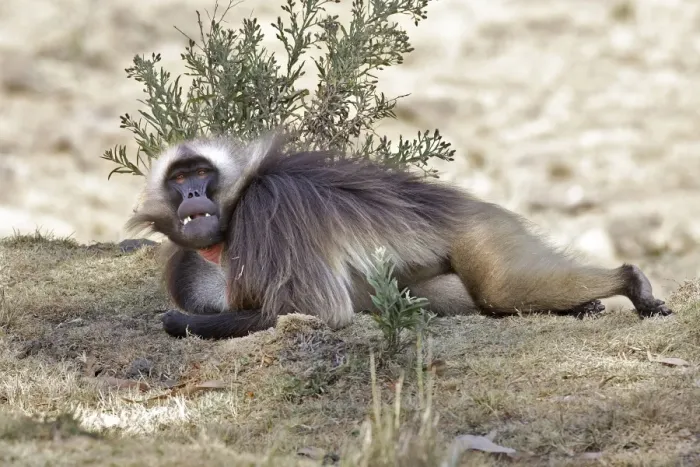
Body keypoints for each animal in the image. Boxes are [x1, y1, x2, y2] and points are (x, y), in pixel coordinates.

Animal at [126, 134, 672, 340]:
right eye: (179, 179)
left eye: (200, 173)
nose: (192, 191)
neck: (236, 208)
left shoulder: (268, 213)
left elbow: (324, 315)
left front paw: (177, 321)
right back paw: (582, 305)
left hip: (482, 231)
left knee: (499, 289)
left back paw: (630, 281)